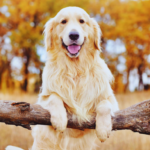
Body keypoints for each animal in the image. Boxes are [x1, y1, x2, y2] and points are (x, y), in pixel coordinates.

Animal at [5, 6, 118, 150]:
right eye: (63, 21)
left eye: (82, 21)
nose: (74, 35)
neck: (75, 68)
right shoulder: (43, 98)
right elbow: (54, 97)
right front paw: (59, 120)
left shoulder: (110, 98)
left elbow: (104, 105)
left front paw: (103, 130)